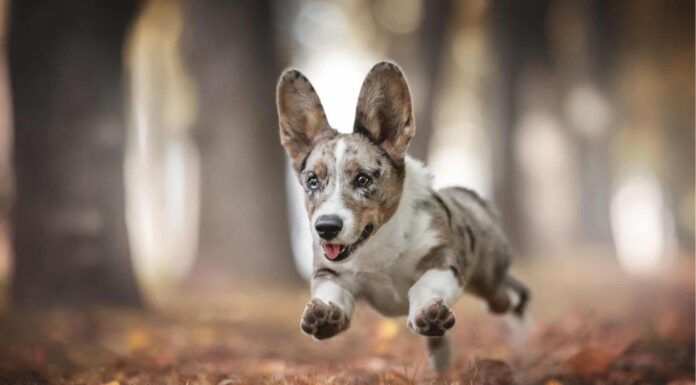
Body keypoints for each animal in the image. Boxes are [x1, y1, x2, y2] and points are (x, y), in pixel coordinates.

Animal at [274, 61, 532, 370]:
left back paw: (521, 342)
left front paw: (426, 312)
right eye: (312, 181)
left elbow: (424, 285)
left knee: (513, 297)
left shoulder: (443, 260)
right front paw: (324, 316)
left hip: (490, 280)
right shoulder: (330, 273)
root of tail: (471, 196)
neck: (377, 244)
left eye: (363, 179)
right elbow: (331, 293)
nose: (326, 227)